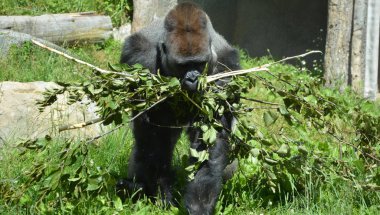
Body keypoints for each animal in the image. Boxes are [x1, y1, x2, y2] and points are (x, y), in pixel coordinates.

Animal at [117, 2, 239, 215]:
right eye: (183, 66)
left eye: (199, 63)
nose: (193, 78)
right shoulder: (142, 60)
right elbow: (154, 136)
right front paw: (162, 194)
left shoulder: (225, 71)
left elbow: (212, 140)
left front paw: (200, 203)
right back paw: (135, 187)